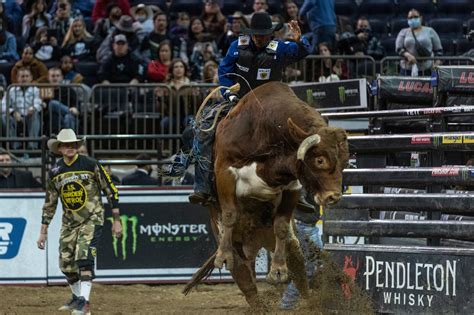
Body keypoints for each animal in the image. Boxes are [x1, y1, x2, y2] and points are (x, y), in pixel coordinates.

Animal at [183, 81, 350, 306]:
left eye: (345, 162)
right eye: (320, 159)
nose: (333, 196)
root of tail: (255, 241)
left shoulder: (292, 185)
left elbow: (281, 225)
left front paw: (278, 270)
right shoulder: (225, 171)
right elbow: (230, 214)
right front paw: (223, 256)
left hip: (277, 241)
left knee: (295, 258)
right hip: (235, 244)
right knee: (246, 282)